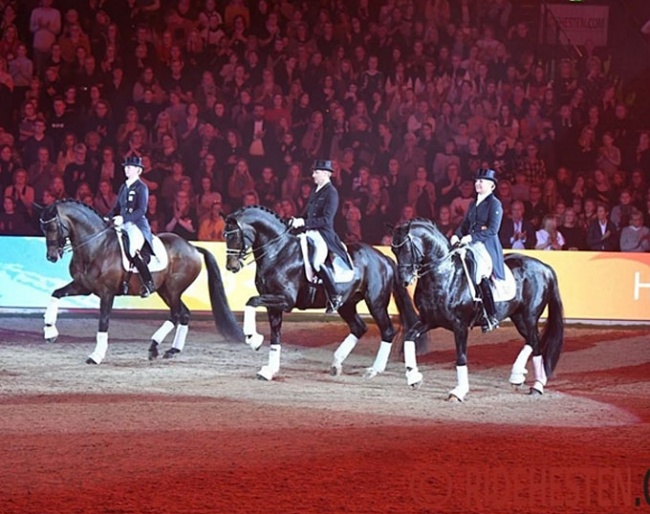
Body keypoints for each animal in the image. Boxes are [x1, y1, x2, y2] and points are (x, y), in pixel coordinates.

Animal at [38, 198, 240, 362]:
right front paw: (50, 332)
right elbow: (55, 294)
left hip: (173, 289)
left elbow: (103, 321)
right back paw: (172, 350)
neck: (96, 245)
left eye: (53, 227)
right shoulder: (82, 286)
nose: (51, 257)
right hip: (165, 290)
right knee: (184, 314)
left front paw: (96, 355)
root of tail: (192, 247)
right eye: (43, 228)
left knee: (176, 315)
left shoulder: (107, 292)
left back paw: (154, 346)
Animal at [221, 205, 416, 380]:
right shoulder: (273, 304)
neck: (279, 252)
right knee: (359, 327)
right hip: (346, 304)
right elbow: (275, 334)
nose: (231, 267)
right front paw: (269, 370)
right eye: (225, 236)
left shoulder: (285, 300)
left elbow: (251, 301)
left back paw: (374, 370)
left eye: (236, 236)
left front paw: (253, 338)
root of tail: (385, 258)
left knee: (387, 331)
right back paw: (336, 364)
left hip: (376, 302)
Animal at [390, 218, 560, 398]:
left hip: (529, 316)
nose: (404, 280)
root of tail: (545, 267)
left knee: (536, 343)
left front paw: (459, 391)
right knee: (532, 341)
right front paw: (413, 378)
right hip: (518, 317)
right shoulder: (429, 320)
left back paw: (537, 385)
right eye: (393, 250)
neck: (444, 275)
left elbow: (461, 357)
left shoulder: (460, 325)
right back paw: (519, 377)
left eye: (407, 248)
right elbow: (409, 337)